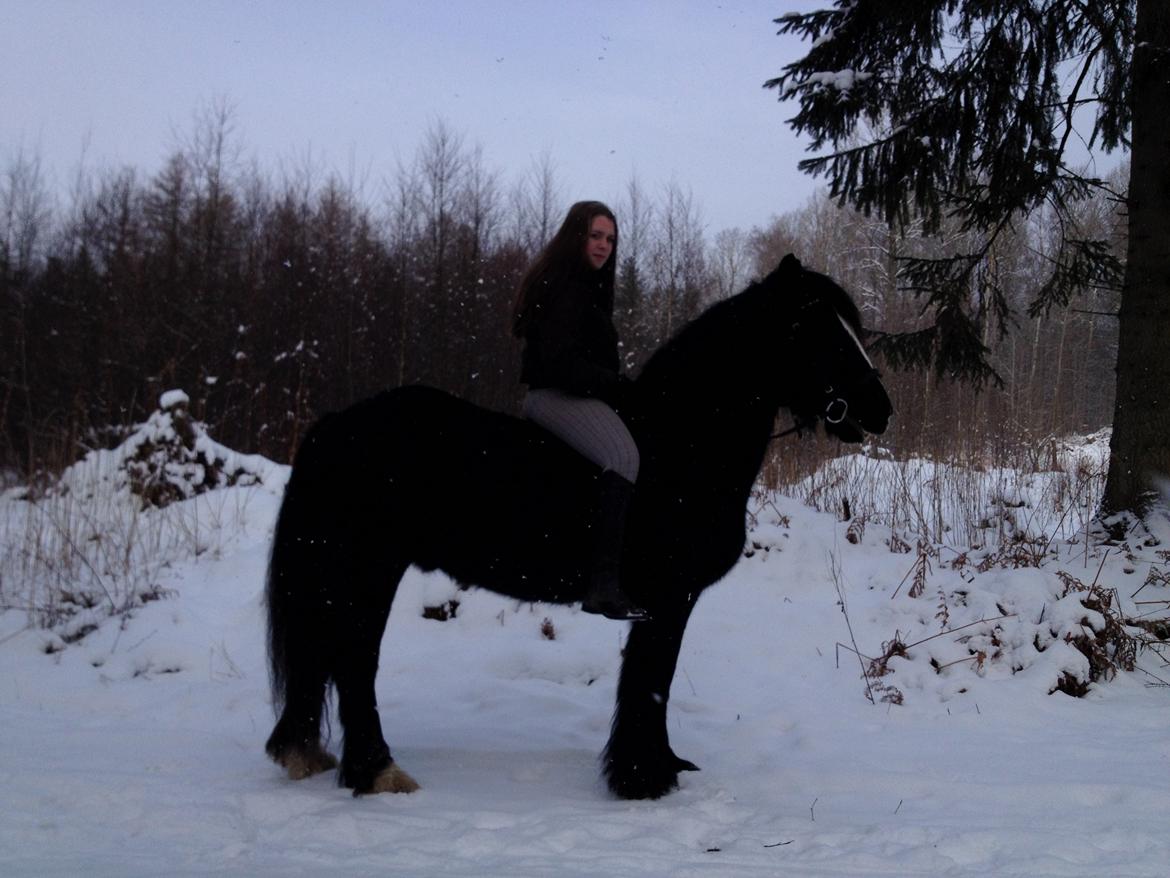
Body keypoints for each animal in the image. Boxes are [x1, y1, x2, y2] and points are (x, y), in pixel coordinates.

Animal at [263, 256, 884, 805]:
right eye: (815, 326)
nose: (880, 408)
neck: (682, 442)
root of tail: (336, 424)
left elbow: (651, 680)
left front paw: (659, 766)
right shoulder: (669, 598)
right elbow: (651, 679)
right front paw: (643, 780)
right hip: (371, 566)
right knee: (354, 659)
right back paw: (378, 771)